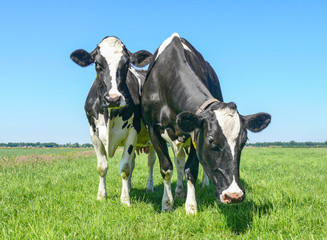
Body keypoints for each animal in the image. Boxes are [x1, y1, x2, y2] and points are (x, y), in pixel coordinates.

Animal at [69, 36, 156, 205]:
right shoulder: (93, 133)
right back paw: (129, 186)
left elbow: (125, 167)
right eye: (97, 64)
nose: (113, 99)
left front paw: (125, 200)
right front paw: (101, 195)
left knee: (150, 162)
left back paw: (149, 188)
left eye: (126, 64)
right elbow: (102, 166)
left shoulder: (132, 132)